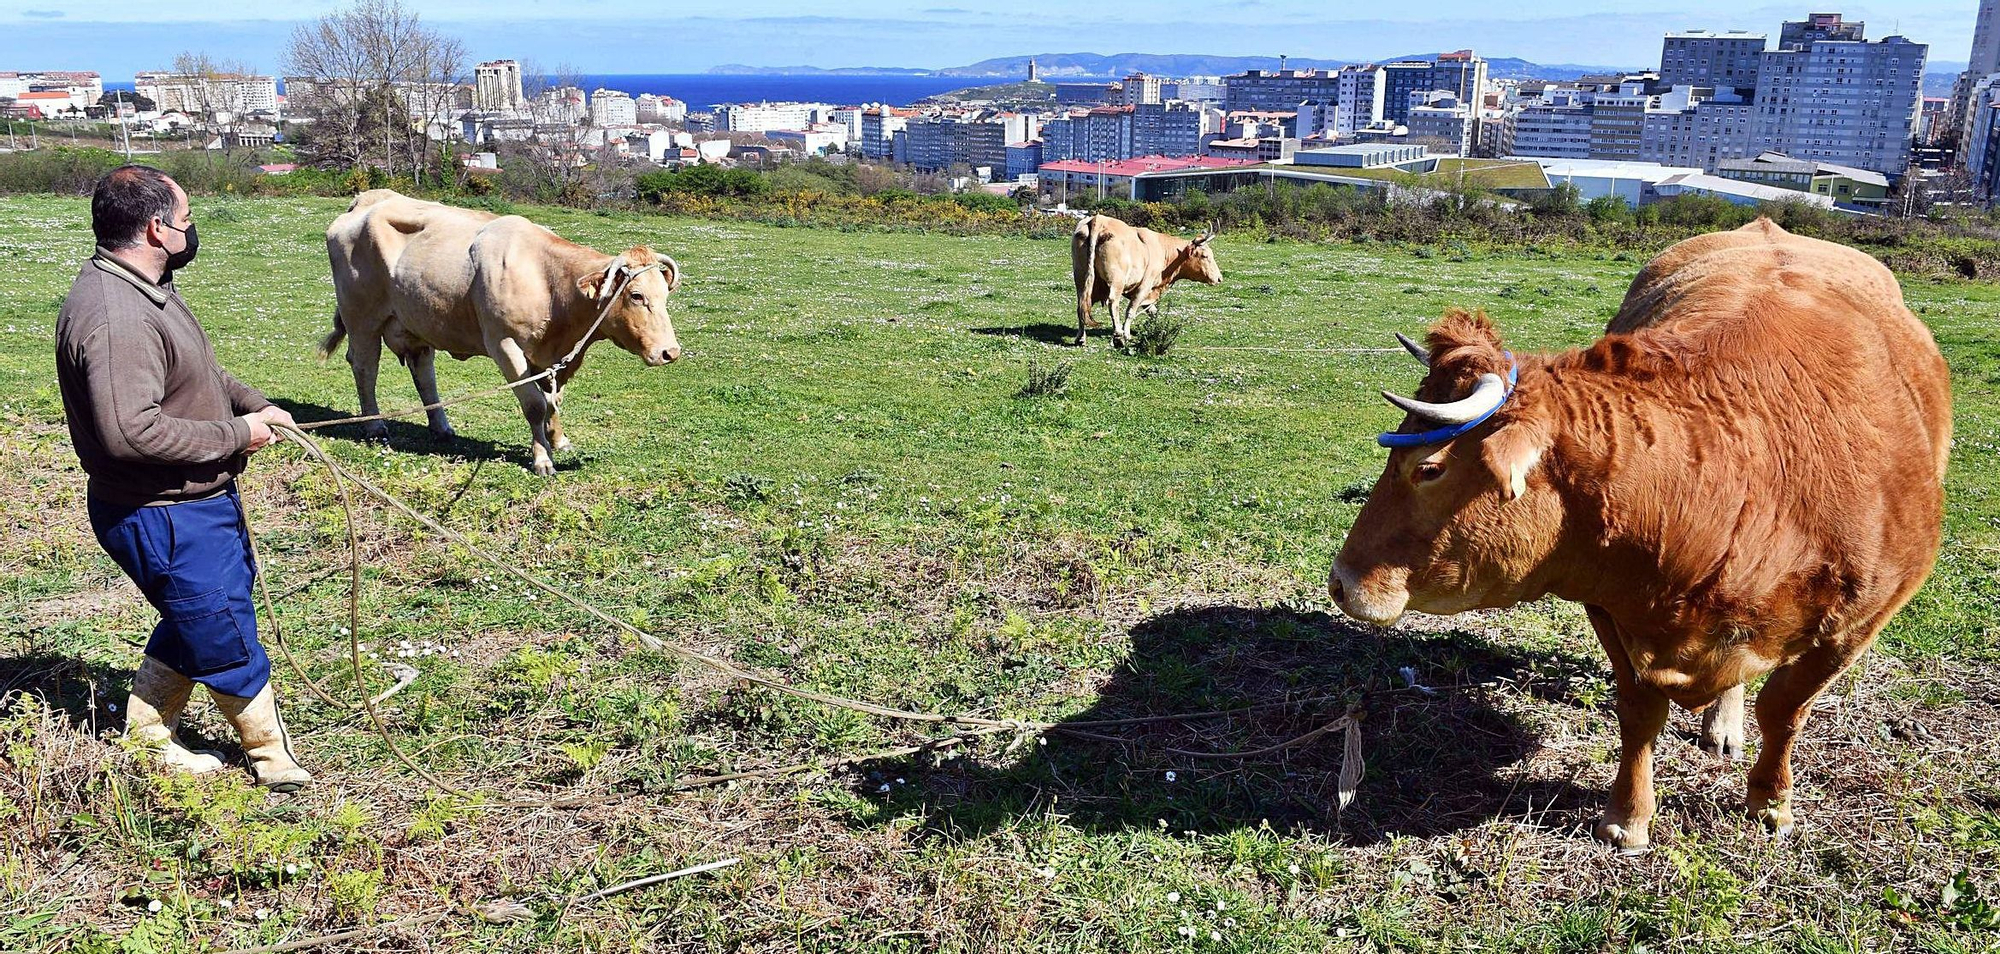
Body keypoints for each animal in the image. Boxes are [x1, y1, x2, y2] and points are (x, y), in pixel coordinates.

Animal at [316, 192, 684, 474]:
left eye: (664, 294)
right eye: (636, 295)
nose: (670, 352)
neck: (548, 281)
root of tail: (366, 200)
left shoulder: (557, 356)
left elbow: (553, 400)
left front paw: (558, 440)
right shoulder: (505, 345)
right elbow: (535, 404)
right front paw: (542, 460)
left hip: (416, 320)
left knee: (424, 372)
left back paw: (441, 426)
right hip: (361, 319)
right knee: (365, 366)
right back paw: (375, 425)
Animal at [1072, 213, 1224, 346]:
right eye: (1204, 256)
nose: (1219, 278)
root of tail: (1099, 220)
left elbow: (1152, 311)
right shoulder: (1144, 286)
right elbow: (1131, 311)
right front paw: (1126, 334)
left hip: (1081, 278)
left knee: (1082, 305)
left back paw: (1081, 337)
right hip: (1116, 282)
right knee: (1113, 304)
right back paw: (1118, 336)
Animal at [1328, 219, 1952, 852]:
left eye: (1428, 468)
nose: (1341, 582)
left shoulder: (1859, 623)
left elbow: (1784, 709)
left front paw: (1771, 801)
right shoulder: (1609, 602)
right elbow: (1639, 709)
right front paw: (1628, 816)